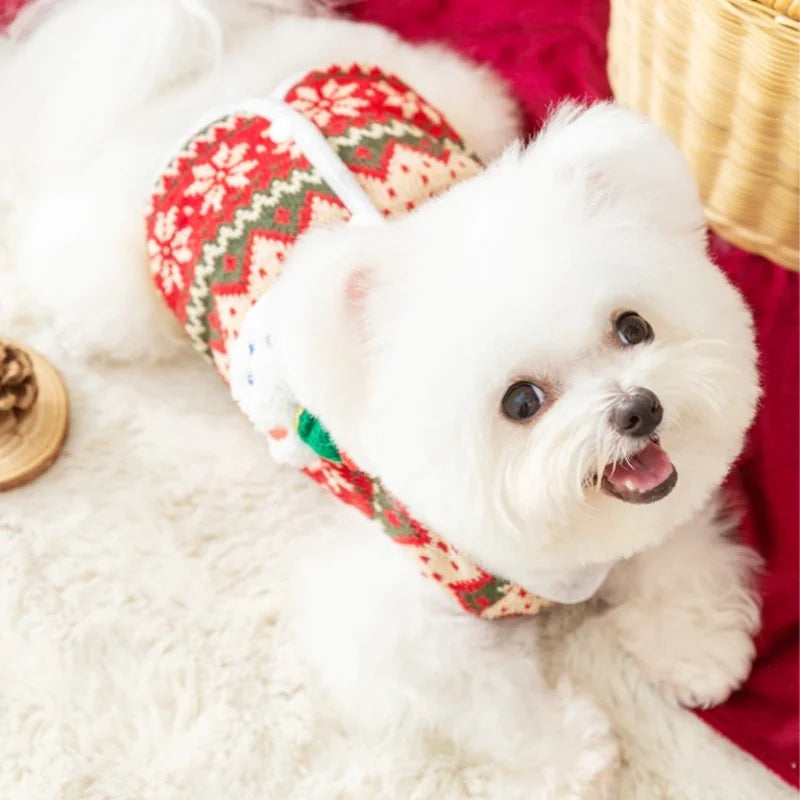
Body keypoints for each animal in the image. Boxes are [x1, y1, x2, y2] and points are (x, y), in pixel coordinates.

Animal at [1, 3, 764, 796]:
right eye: (522, 401)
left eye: (632, 327)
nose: (638, 409)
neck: (559, 553)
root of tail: (214, 59)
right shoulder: (394, 619)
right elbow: (484, 697)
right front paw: (573, 752)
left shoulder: (664, 509)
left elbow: (681, 554)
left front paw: (698, 643)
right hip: (112, 283)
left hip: (455, 96)